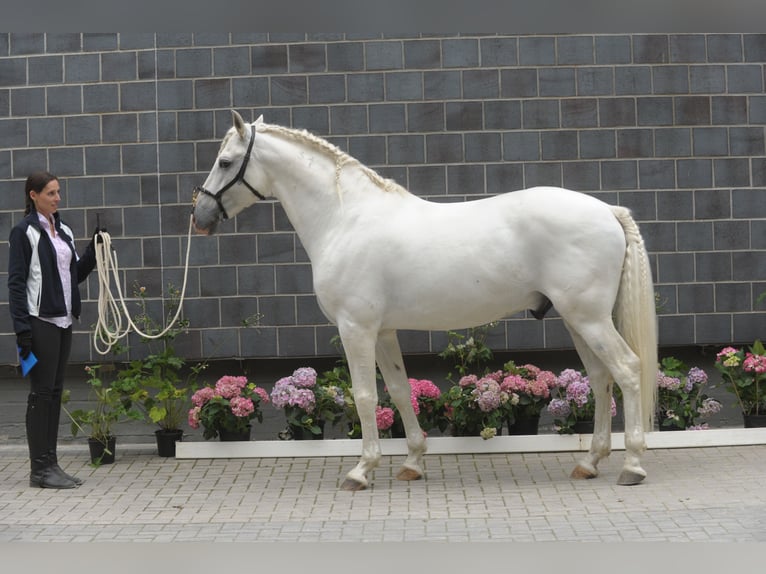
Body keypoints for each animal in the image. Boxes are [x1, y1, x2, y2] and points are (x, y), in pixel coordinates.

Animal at [192, 110, 657, 491]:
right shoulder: (383, 331)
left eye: (225, 162)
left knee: (627, 370)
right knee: (600, 378)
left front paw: (361, 471)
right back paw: (589, 463)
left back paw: (632, 466)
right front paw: (412, 462)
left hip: (590, 318)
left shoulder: (356, 329)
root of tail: (607, 210)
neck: (345, 219)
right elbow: (398, 391)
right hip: (578, 319)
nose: (200, 217)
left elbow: (364, 395)